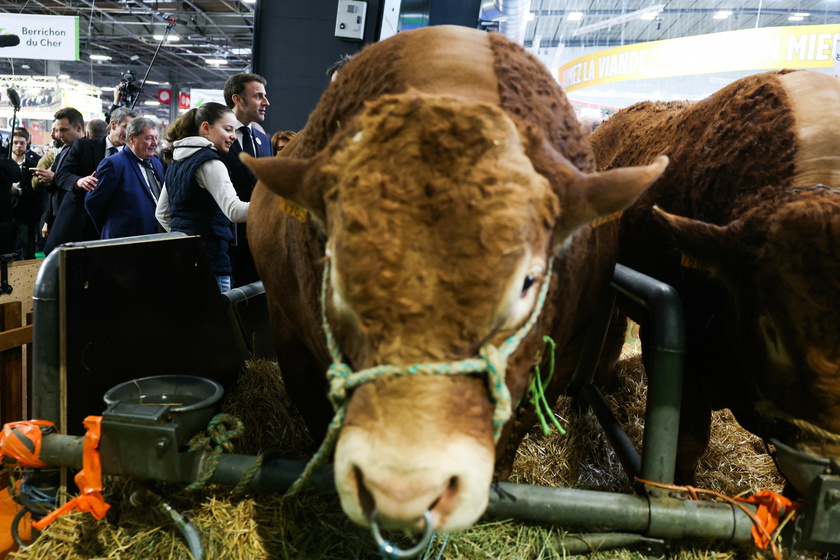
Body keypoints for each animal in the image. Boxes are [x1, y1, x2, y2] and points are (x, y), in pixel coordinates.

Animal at [244, 25, 668, 532]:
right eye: (335, 274)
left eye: (528, 282)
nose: (402, 490)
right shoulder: (293, 341)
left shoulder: (561, 355)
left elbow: (518, 424)